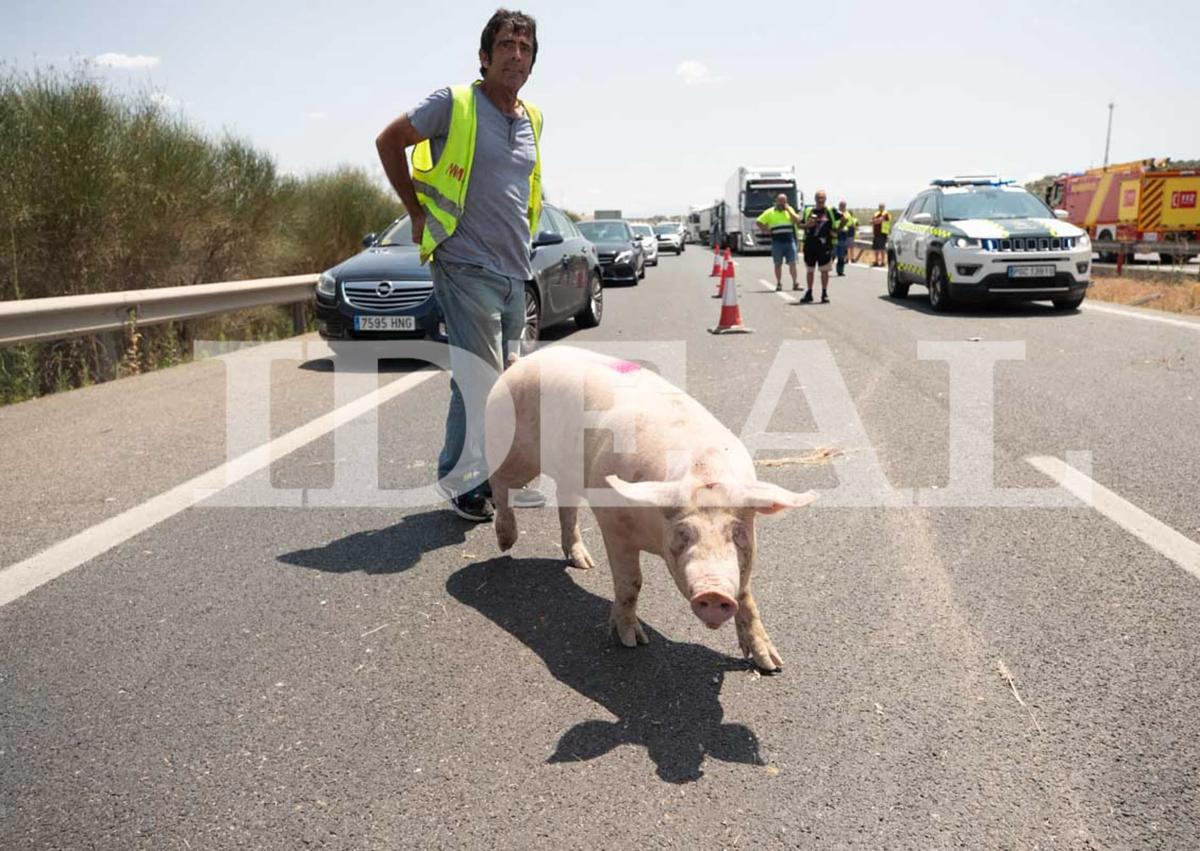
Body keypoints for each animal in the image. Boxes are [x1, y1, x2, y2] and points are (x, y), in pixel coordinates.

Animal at [484, 345, 816, 672]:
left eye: (736, 533)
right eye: (683, 534)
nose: (714, 593)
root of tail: (520, 361)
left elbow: (746, 596)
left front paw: (772, 664)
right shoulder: (614, 526)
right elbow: (631, 583)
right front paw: (632, 642)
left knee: (566, 505)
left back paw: (584, 563)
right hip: (512, 449)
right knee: (500, 483)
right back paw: (505, 542)